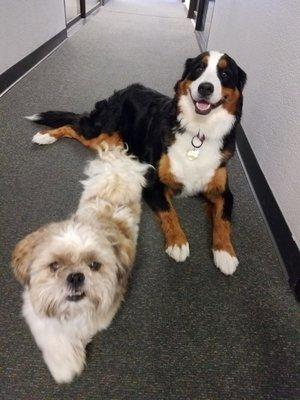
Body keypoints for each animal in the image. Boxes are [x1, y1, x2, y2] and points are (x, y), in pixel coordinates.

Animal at [11, 145, 149, 382]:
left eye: (94, 265)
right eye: (55, 266)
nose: (76, 276)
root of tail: (115, 171)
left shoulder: (102, 313)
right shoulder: (35, 308)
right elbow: (53, 333)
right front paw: (65, 364)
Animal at [26, 50, 246, 276]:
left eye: (225, 74)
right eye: (199, 69)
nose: (205, 87)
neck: (198, 132)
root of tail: (127, 88)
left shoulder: (222, 192)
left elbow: (223, 220)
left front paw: (225, 253)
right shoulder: (153, 182)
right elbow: (169, 212)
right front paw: (177, 242)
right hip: (100, 132)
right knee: (72, 126)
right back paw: (45, 136)